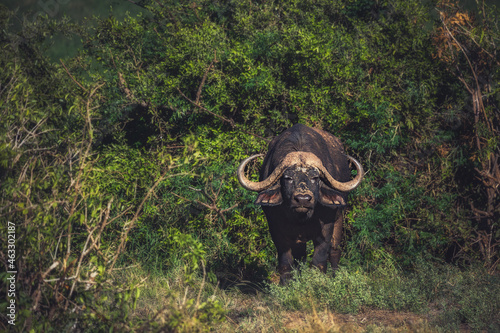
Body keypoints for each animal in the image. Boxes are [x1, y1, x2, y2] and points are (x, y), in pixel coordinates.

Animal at [238, 123, 364, 284]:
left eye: (315, 177)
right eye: (288, 178)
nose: (303, 199)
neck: (301, 218)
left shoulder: (326, 227)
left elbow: (319, 261)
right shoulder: (276, 229)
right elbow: (286, 262)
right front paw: (286, 284)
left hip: (339, 218)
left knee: (335, 250)